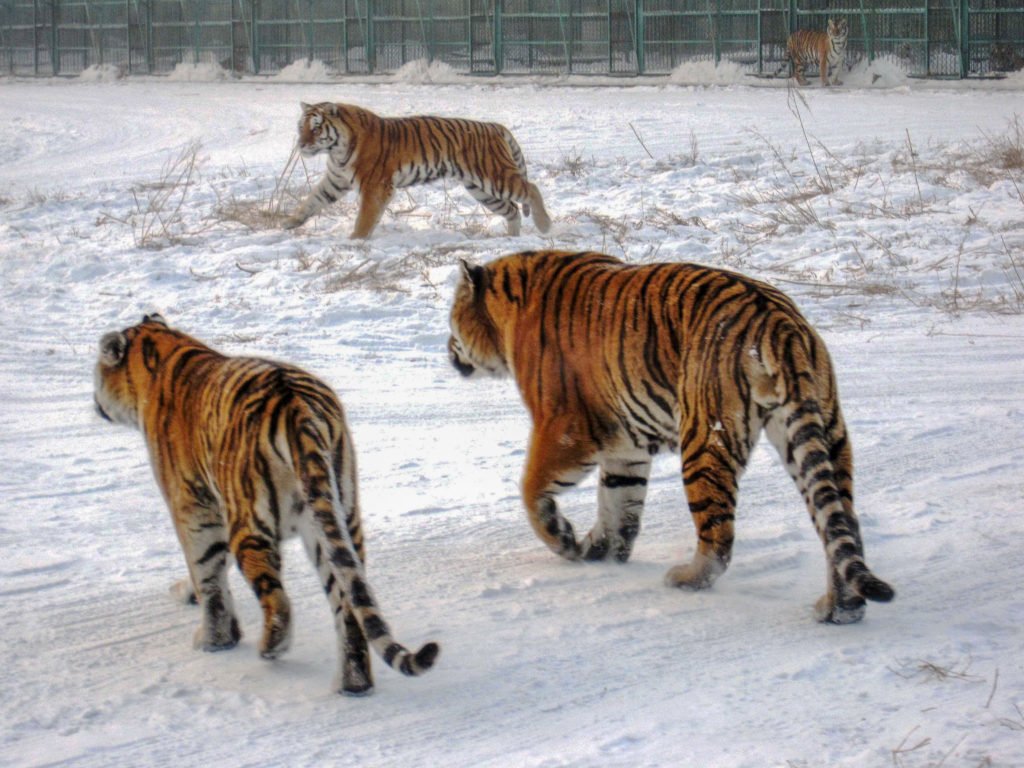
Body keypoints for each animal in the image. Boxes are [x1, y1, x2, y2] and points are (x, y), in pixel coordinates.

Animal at [91, 315, 436, 700]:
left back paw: (271, 647)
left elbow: (207, 575)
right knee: (349, 604)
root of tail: (297, 406)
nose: (94, 400)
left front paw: (214, 640)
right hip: (336, 518)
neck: (163, 351)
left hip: (250, 521)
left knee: (277, 599)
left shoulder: (194, 507)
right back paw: (353, 684)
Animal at [280, 100, 552, 237]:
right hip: (481, 189)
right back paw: (511, 238)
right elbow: (312, 200)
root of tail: (495, 126)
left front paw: (355, 242)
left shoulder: (374, 187)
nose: (301, 144)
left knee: (531, 189)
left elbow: (364, 219)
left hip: (494, 176)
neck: (336, 151)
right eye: (300, 127)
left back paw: (544, 226)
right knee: (512, 210)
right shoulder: (336, 180)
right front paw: (290, 222)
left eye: (316, 128)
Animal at [448, 252, 897, 626]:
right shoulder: (624, 445)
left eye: (452, 322)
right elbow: (619, 504)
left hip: (704, 440)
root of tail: (781, 323)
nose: (448, 352)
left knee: (719, 538)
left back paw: (684, 578)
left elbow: (531, 489)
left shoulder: (563, 426)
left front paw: (565, 541)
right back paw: (842, 608)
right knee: (842, 523)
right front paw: (601, 550)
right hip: (823, 432)